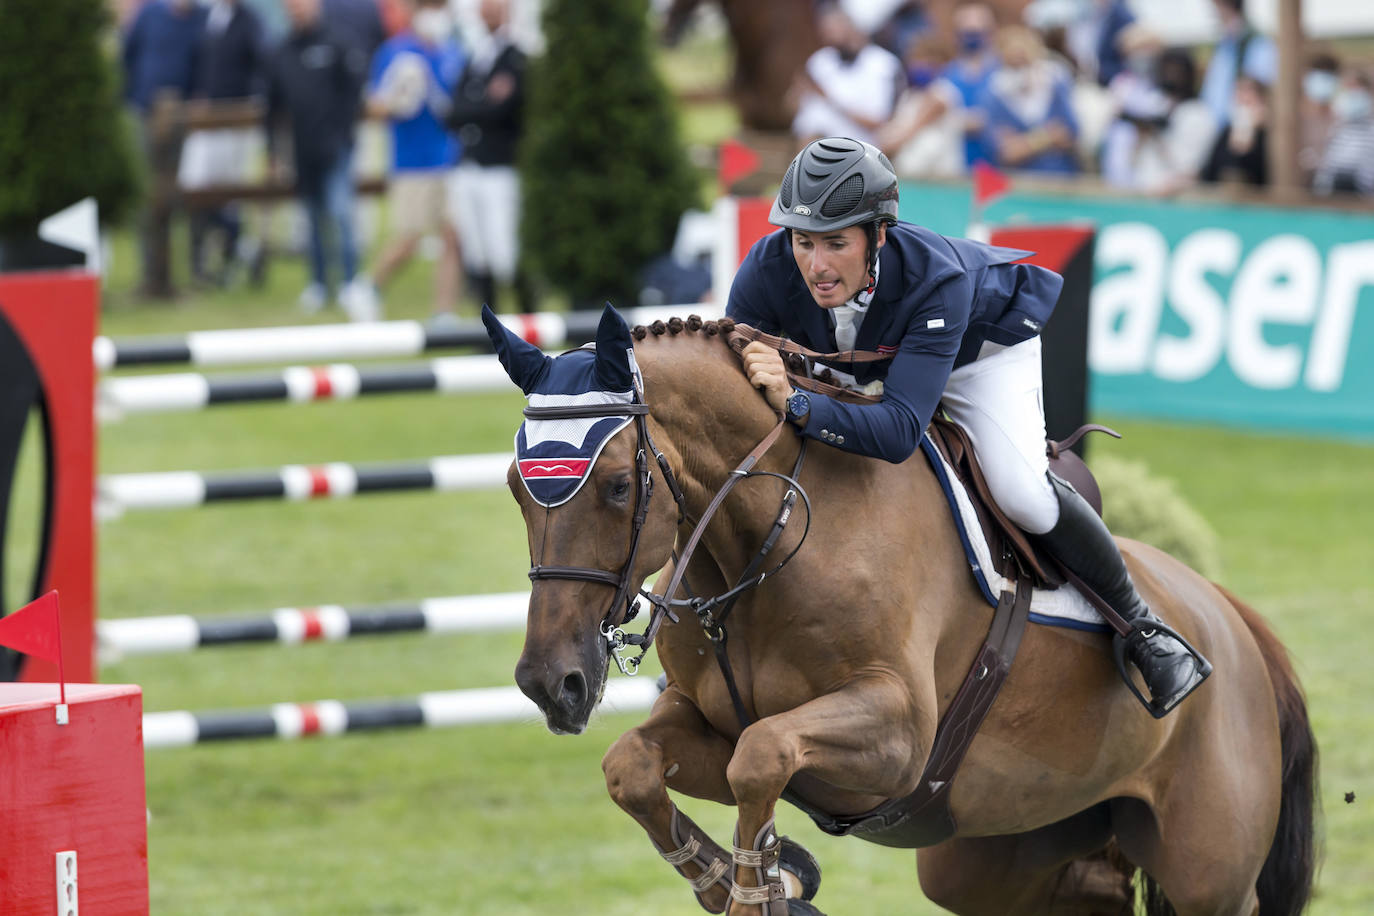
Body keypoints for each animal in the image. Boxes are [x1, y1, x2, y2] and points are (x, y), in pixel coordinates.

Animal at [489, 310, 1313, 916]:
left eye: (618, 486)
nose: (549, 683)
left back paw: (1164, 659)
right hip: (996, 855)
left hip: (1208, 875)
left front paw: (767, 889)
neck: (768, 543)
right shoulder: (708, 722)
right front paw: (766, 880)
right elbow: (634, 767)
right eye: (515, 487)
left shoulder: (897, 740)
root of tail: (1236, 621)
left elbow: (762, 755)